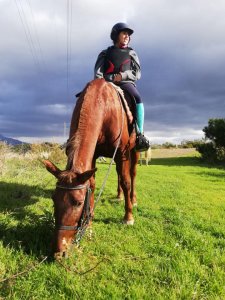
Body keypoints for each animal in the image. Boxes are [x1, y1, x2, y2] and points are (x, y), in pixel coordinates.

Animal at [43, 78, 139, 258]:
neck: (105, 106)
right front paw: (89, 227)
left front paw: (128, 217)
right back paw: (119, 196)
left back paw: (133, 199)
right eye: (53, 199)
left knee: (131, 175)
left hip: (133, 151)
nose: (59, 252)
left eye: (79, 203)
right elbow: (92, 186)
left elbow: (126, 181)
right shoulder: (94, 156)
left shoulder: (121, 153)